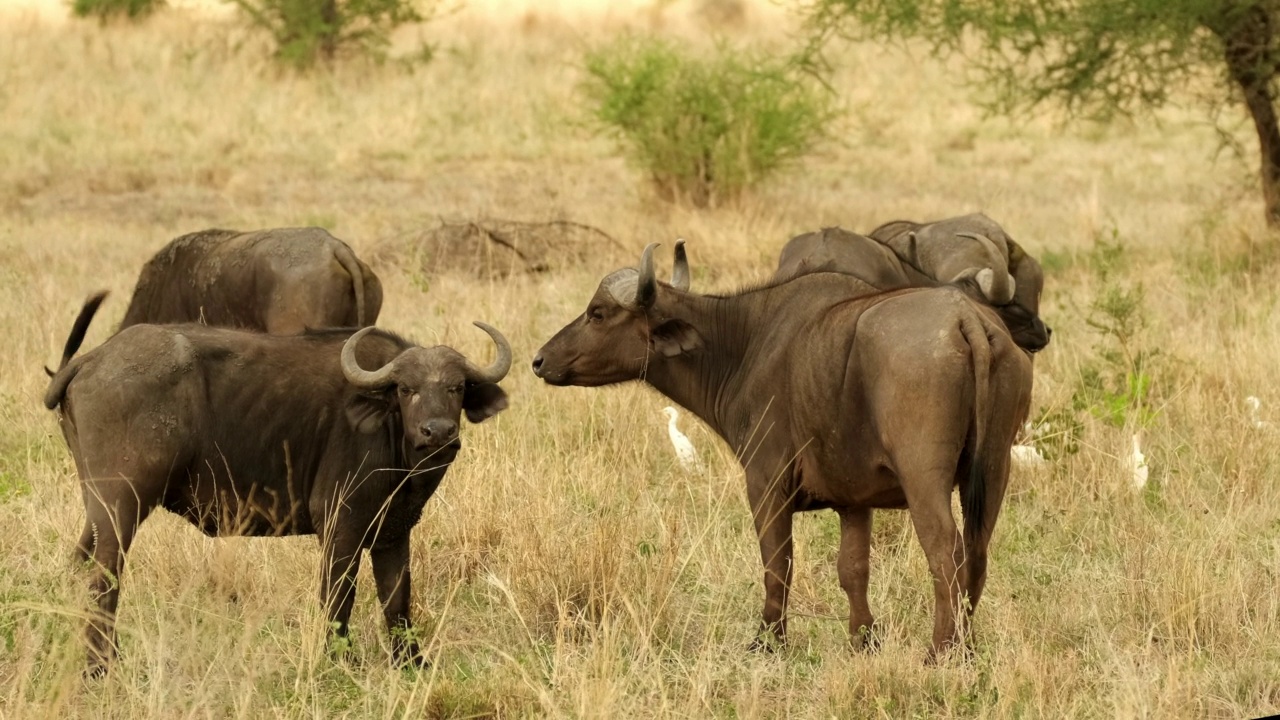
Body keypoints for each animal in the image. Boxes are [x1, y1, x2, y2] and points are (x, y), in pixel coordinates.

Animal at [535, 243, 1034, 661]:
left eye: (597, 313)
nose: (539, 360)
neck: (744, 344)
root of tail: (965, 320)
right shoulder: (854, 502)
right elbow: (853, 569)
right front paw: (863, 639)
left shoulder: (765, 485)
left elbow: (777, 564)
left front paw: (768, 640)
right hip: (994, 471)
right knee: (977, 554)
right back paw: (968, 646)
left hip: (923, 478)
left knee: (946, 551)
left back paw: (942, 650)